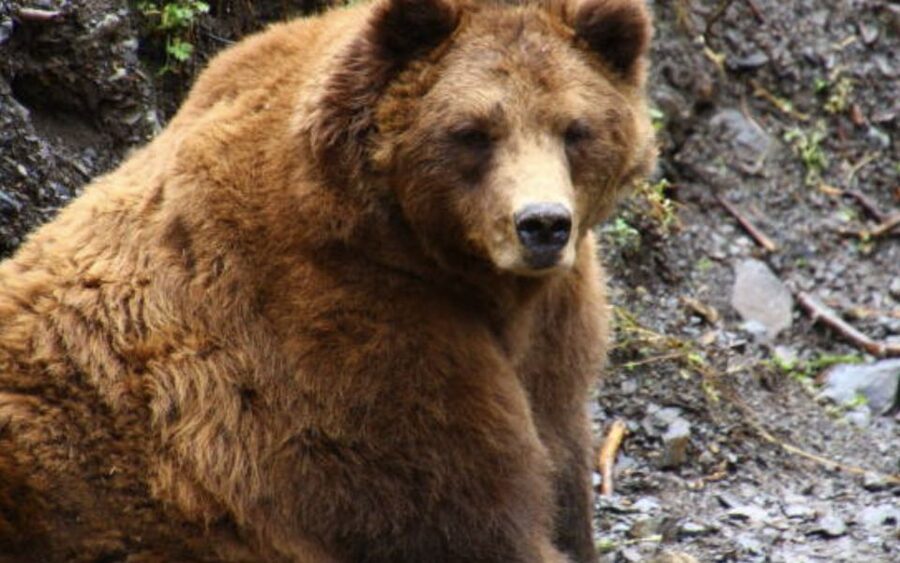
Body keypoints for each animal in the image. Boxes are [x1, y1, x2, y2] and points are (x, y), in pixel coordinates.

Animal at [0, 0, 655, 561]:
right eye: (473, 131)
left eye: (575, 129)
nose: (543, 224)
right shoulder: (346, 336)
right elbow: (461, 504)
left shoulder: (554, 334)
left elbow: (560, 460)